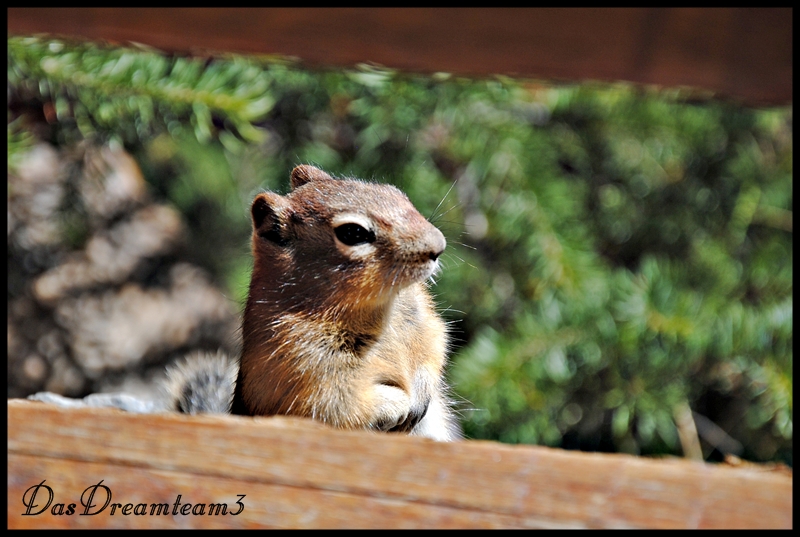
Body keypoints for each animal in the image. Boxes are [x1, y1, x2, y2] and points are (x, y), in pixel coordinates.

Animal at [31, 165, 460, 442]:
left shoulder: (424, 321)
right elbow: (341, 405)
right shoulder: (302, 368)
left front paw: (422, 389)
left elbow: (434, 347)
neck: (379, 307)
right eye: (353, 233)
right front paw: (398, 403)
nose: (438, 246)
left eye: (396, 192)